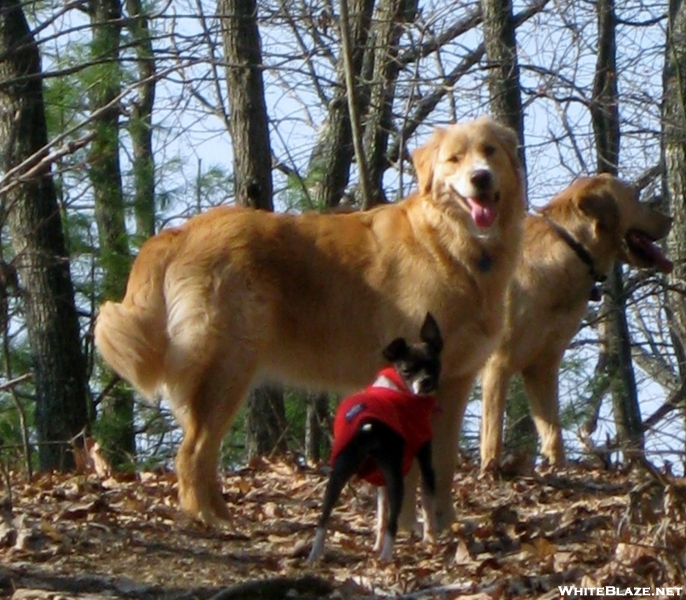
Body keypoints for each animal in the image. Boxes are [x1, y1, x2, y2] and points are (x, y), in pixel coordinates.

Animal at [95, 116, 528, 524]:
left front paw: (444, 528)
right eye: (454, 159)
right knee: (191, 454)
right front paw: (404, 529)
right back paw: (205, 518)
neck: (453, 244)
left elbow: (443, 467)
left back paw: (220, 514)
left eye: (489, 152)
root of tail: (180, 231)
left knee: (202, 454)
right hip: (225, 368)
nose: (480, 177)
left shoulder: (454, 382)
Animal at [310, 314, 444, 564]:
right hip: (395, 477)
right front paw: (430, 540)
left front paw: (376, 545)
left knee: (323, 516)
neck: (400, 387)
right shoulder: (424, 460)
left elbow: (381, 513)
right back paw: (387, 556)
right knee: (393, 522)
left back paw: (314, 554)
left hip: (340, 471)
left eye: (434, 365)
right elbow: (428, 502)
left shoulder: (380, 477)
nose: (425, 381)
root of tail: (367, 426)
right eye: (406, 371)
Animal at [482, 176, 676, 472]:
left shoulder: (543, 366)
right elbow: (493, 430)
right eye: (635, 195)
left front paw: (557, 467)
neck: (570, 250)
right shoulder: (498, 363)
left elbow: (552, 429)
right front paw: (490, 468)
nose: (671, 218)